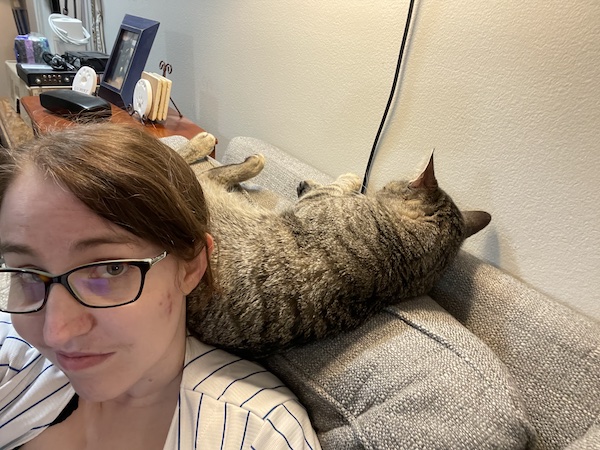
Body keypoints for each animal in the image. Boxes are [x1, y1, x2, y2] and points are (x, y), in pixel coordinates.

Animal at [177, 134, 492, 358]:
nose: (382, 186)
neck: (405, 257)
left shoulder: (315, 205)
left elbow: (333, 187)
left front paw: (349, 179)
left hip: (200, 189)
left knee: (197, 166)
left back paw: (220, 147)